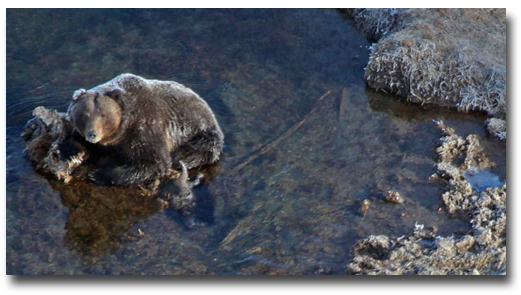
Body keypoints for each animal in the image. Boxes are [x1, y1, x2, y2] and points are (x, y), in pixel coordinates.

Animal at [61, 73, 223, 187]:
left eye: (103, 115)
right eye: (85, 115)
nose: (92, 134)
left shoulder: (145, 128)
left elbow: (154, 163)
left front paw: (98, 173)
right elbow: (74, 139)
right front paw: (73, 153)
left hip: (199, 130)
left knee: (196, 151)